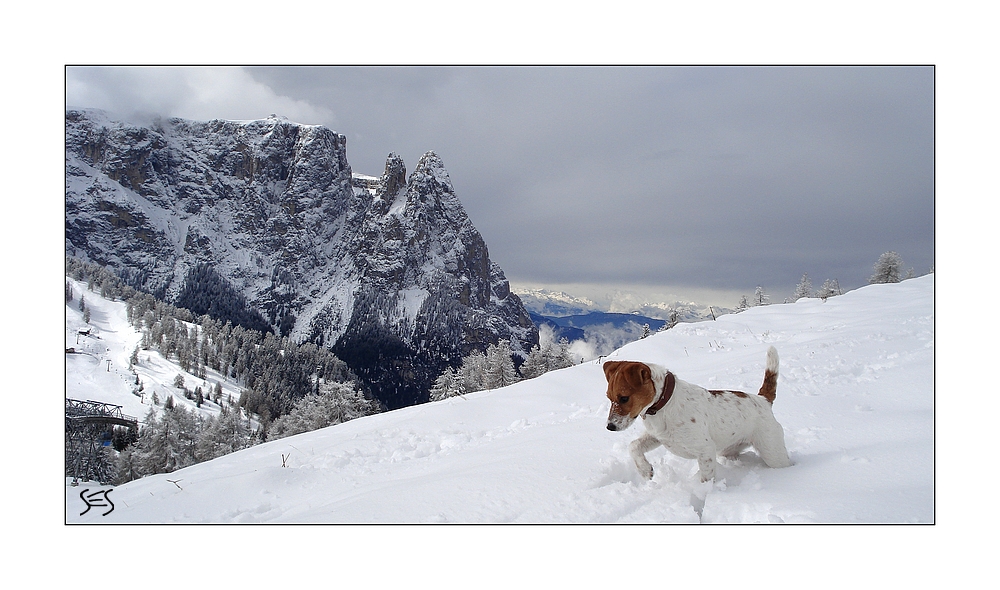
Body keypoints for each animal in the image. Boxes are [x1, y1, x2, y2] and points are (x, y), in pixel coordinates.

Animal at [604, 350, 792, 484]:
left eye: (624, 398)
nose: (609, 427)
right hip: (729, 450)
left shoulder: (705, 450)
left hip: (772, 452)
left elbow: (706, 479)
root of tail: (763, 400)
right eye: (608, 397)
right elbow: (633, 446)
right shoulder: (657, 437)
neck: (665, 403)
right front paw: (645, 470)